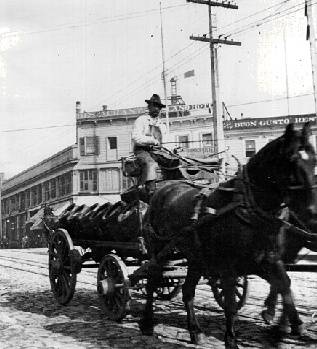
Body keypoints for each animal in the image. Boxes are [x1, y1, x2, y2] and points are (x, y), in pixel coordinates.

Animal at [139, 121, 314, 346]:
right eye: (292, 161)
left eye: (314, 159)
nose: (312, 211)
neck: (249, 208)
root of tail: (161, 190)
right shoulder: (228, 268)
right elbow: (231, 304)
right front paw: (232, 339)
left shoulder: (268, 259)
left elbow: (284, 285)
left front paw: (286, 326)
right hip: (159, 250)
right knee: (152, 281)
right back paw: (147, 323)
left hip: (195, 257)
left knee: (187, 291)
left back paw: (195, 330)